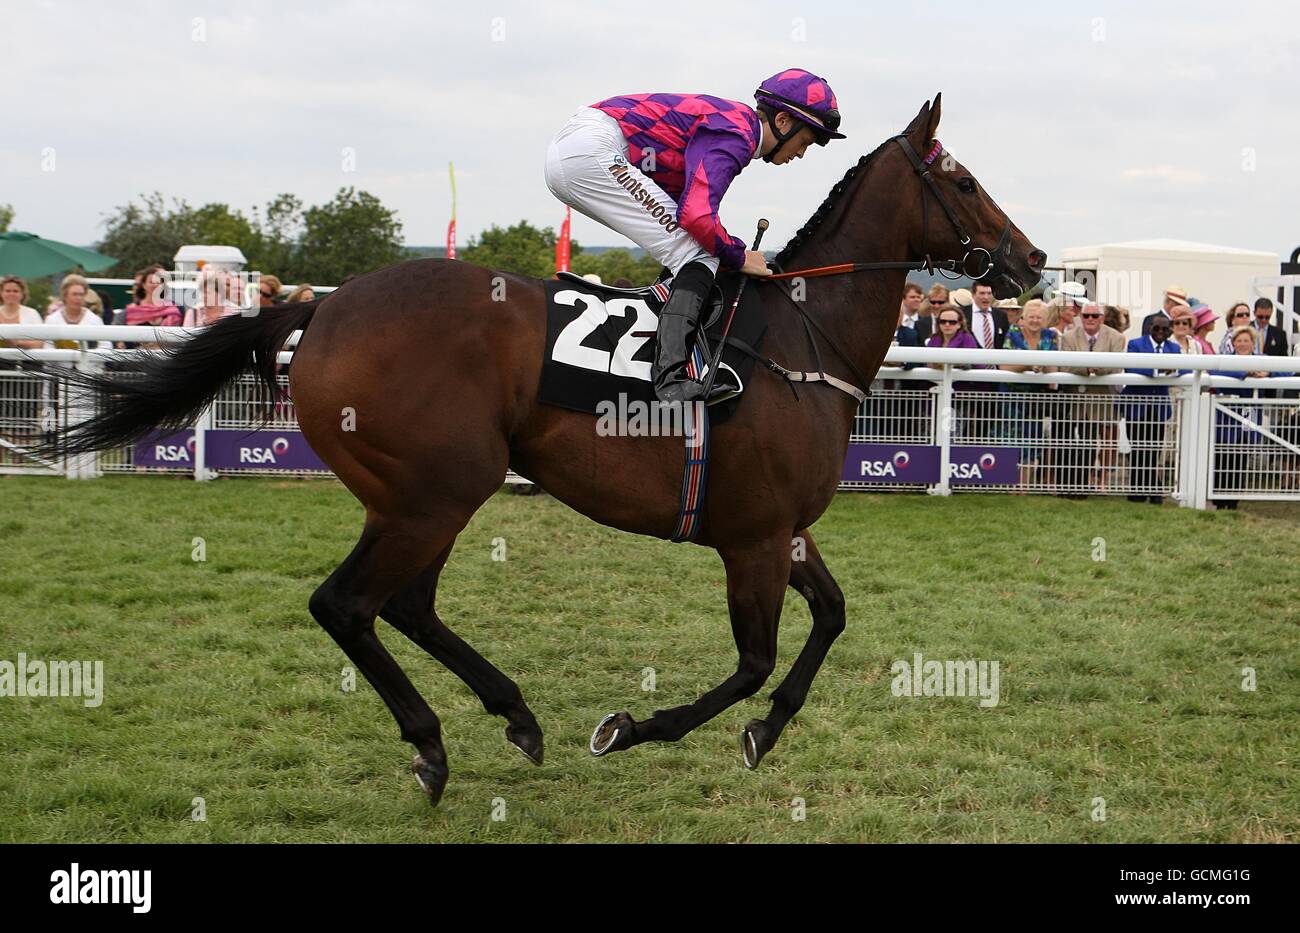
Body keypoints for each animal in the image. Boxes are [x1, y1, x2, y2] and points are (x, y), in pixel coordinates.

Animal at [45, 96, 1045, 810]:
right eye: (962, 179)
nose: (1032, 261)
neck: (803, 339)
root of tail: (318, 309)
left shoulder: (785, 529)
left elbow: (832, 618)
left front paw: (765, 732)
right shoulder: (753, 537)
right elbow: (754, 661)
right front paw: (631, 726)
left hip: (420, 494)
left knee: (402, 604)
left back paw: (513, 715)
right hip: (438, 489)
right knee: (348, 603)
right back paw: (436, 744)